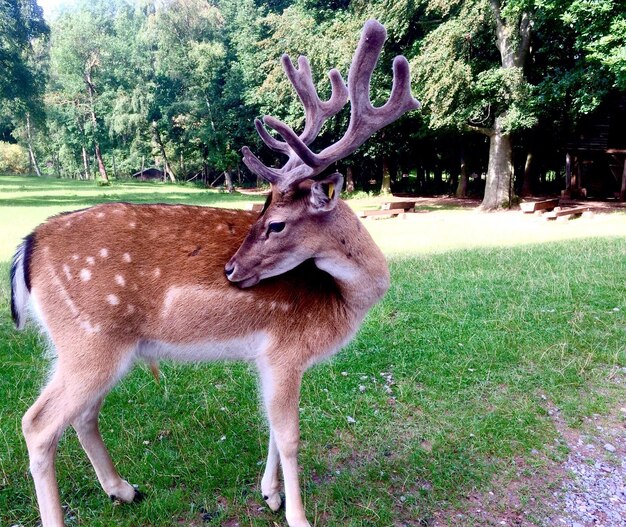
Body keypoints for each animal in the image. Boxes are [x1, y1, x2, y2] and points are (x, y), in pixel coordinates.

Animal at [8, 19, 420, 527]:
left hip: (92, 347)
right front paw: (297, 515)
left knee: (82, 414)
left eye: (275, 221)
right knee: (37, 423)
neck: (343, 299)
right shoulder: (286, 349)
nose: (231, 269)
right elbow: (290, 436)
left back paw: (124, 490)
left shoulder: (266, 357)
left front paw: (269, 494)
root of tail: (28, 246)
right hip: (90, 338)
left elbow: (269, 425)